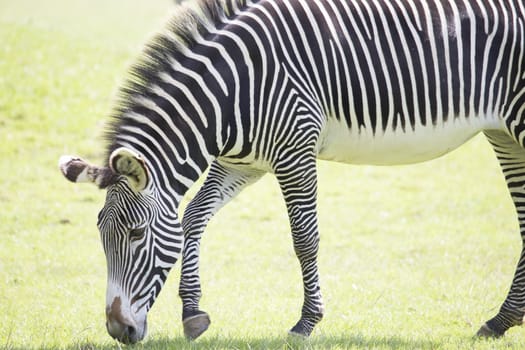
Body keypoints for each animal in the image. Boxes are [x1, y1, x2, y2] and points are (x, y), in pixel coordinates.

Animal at [60, 0, 525, 344]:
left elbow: (304, 238)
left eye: (136, 235)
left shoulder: (295, 152)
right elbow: (193, 217)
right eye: (101, 235)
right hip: (504, 133)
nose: (118, 331)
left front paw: (306, 322)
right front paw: (193, 313)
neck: (234, 90)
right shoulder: (241, 163)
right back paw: (501, 320)